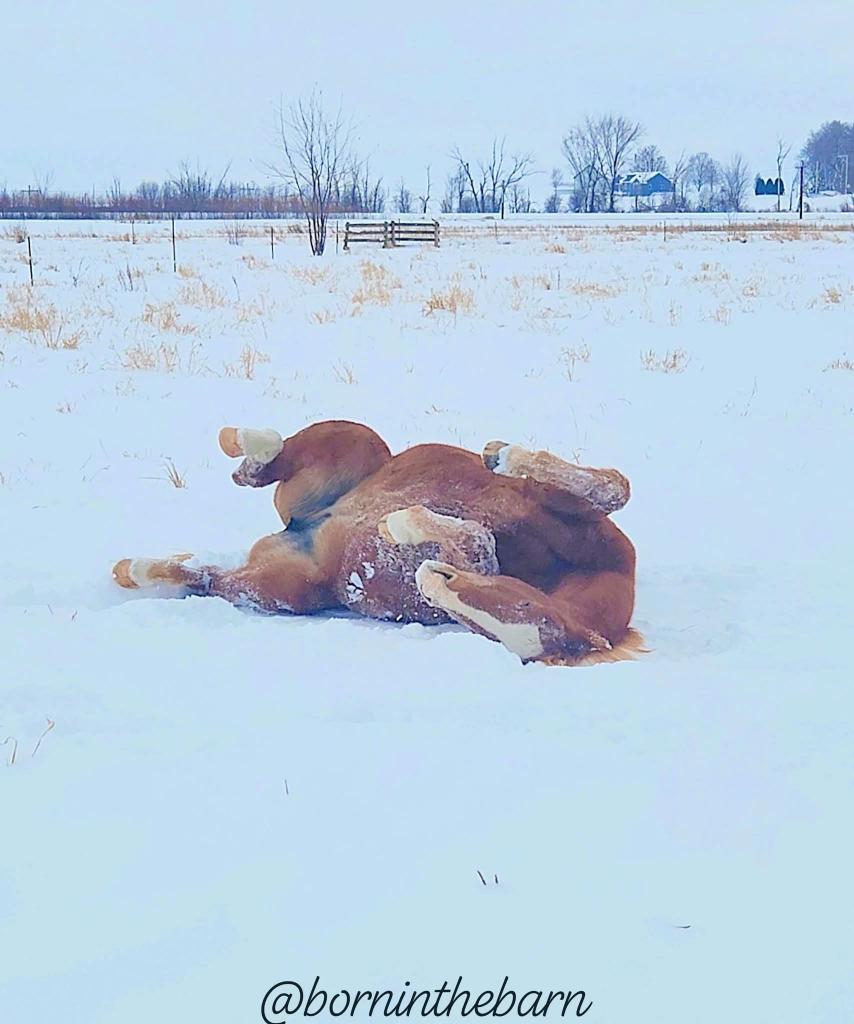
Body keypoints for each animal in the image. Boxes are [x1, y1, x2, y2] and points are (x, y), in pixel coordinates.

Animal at [112, 420, 643, 666]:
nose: (434, 578)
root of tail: (301, 527)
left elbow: (478, 545)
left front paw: (406, 526)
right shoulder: (558, 508)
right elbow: (614, 485)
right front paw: (500, 454)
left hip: (272, 587)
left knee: (207, 577)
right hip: (358, 443)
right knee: (270, 457)